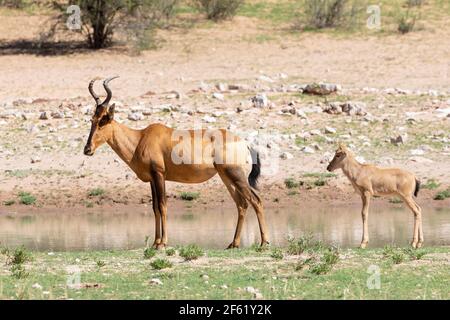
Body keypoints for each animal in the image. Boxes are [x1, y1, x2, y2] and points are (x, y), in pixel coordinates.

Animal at [83, 77, 268, 250]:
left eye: (103, 120)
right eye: (92, 119)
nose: (87, 149)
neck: (141, 138)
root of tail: (244, 143)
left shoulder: (159, 174)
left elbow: (163, 205)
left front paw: (162, 243)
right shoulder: (152, 179)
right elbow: (155, 208)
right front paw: (155, 242)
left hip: (236, 176)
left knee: (256, 200)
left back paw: (264, 243)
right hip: (226, 177)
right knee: (241, 204)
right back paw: (233, 244)